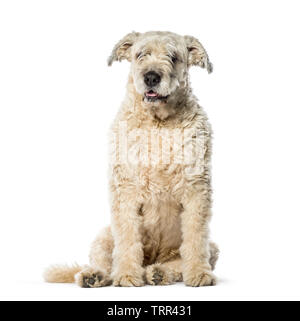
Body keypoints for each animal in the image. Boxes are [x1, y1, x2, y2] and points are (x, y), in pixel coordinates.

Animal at [44, 31, 218, 286]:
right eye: (140, 54)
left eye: (173, 56)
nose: (151, 77)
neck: (158, 123)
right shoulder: (125, 189)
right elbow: (127, 239)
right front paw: (127, 274)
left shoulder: (196, 188)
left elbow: (195, 238)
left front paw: (199, 274)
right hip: (104, 236)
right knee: (105, 262)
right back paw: (95, 275)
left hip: (209, 246)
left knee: (177, 262)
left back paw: (158, 273)